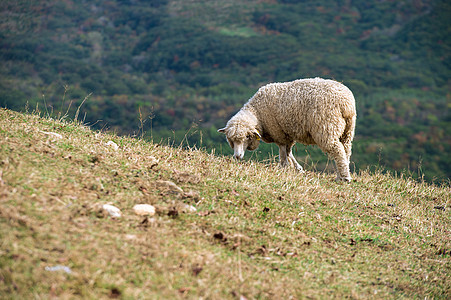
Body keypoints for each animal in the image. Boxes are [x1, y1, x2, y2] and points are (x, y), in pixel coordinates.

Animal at [219, 77, 356, 180]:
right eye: (230, 140)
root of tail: (345, 104)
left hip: (327, 127)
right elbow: (289, 151)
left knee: (337, 150)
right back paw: (340, 175)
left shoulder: (278, 132)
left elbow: (283, 152)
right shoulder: (287, 133)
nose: (237, 156)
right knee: (345, 151)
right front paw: (297, 168)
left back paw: (345, 178)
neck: (257, 112)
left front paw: (283, 167)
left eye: (247, 137)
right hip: (347, 130)